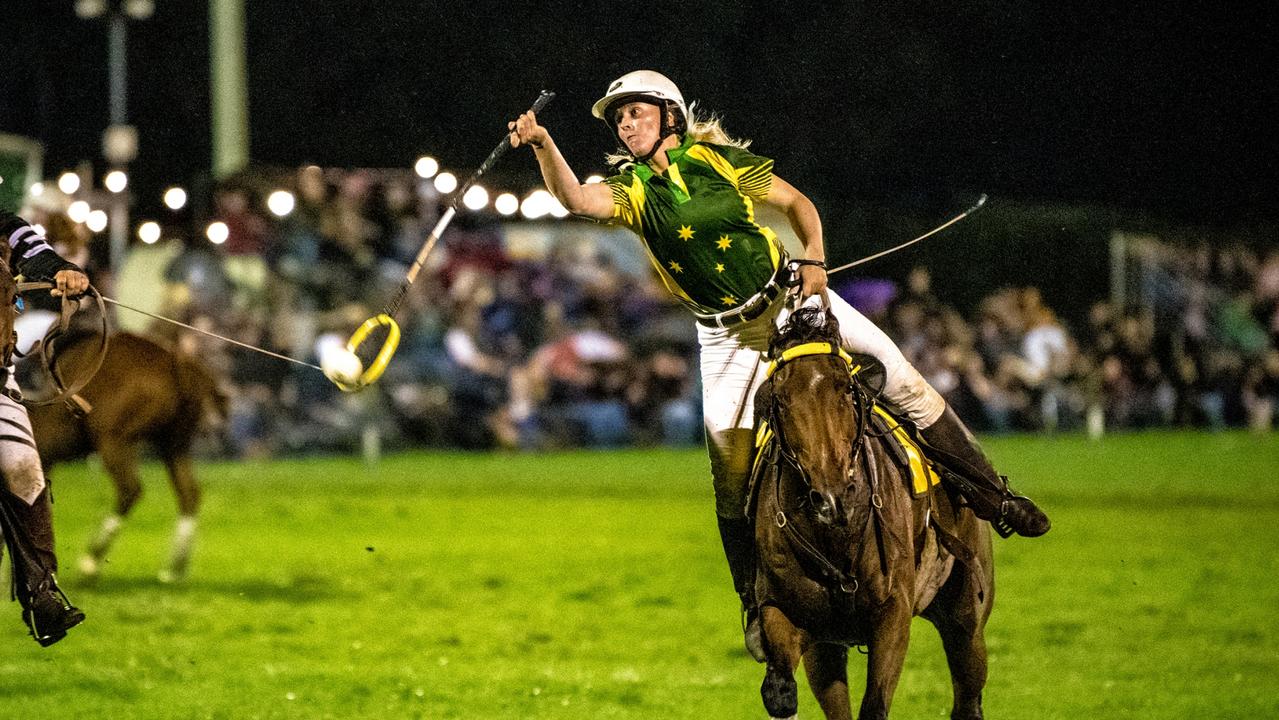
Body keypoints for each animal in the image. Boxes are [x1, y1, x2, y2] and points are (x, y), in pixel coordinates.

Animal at [24, 329, 226, 583]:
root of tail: (175, 361)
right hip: (175, 445)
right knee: (189, 493)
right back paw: (176, 567)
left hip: (116, 441)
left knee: (130, 490)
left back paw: (91, 562)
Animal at [746, 305, 997, 720]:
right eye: (780, 398)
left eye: (846, 389)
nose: (832, 496)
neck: (836, 538)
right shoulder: (789, 613)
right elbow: (781, 687)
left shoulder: (893, 614)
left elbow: (875, 703)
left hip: (967, 617)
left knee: (968, 693)